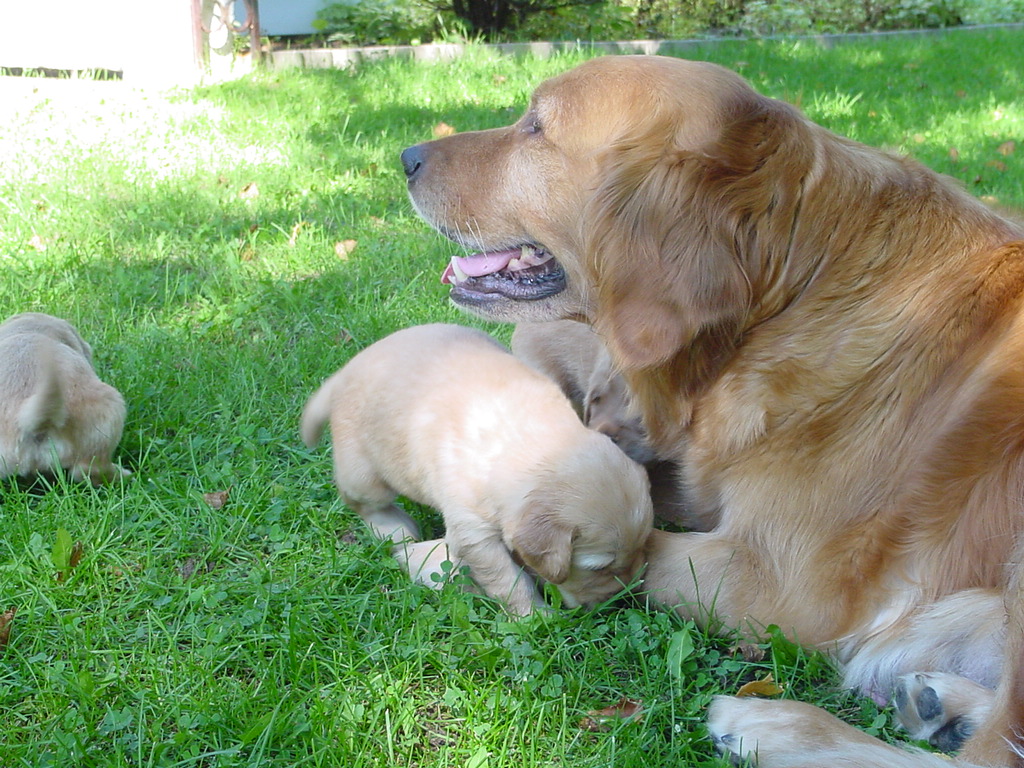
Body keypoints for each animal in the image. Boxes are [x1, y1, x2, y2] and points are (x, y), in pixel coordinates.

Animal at [299, 325, 651, 618]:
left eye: (643, 546)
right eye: (598, 568)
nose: (620, 602)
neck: (535, 441)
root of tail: (345, 371)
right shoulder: (473, 532)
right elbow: (508, 580)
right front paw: (534, 617)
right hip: (363, 471)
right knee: (362, 500)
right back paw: (393, 527)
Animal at [403, 55, 1024, 768]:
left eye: (536, 125)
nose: (406, 157)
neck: (791, 296)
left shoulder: (777, 584)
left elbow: (630, 552)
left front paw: (436, 552)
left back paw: (771, 724)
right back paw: (942, 704)